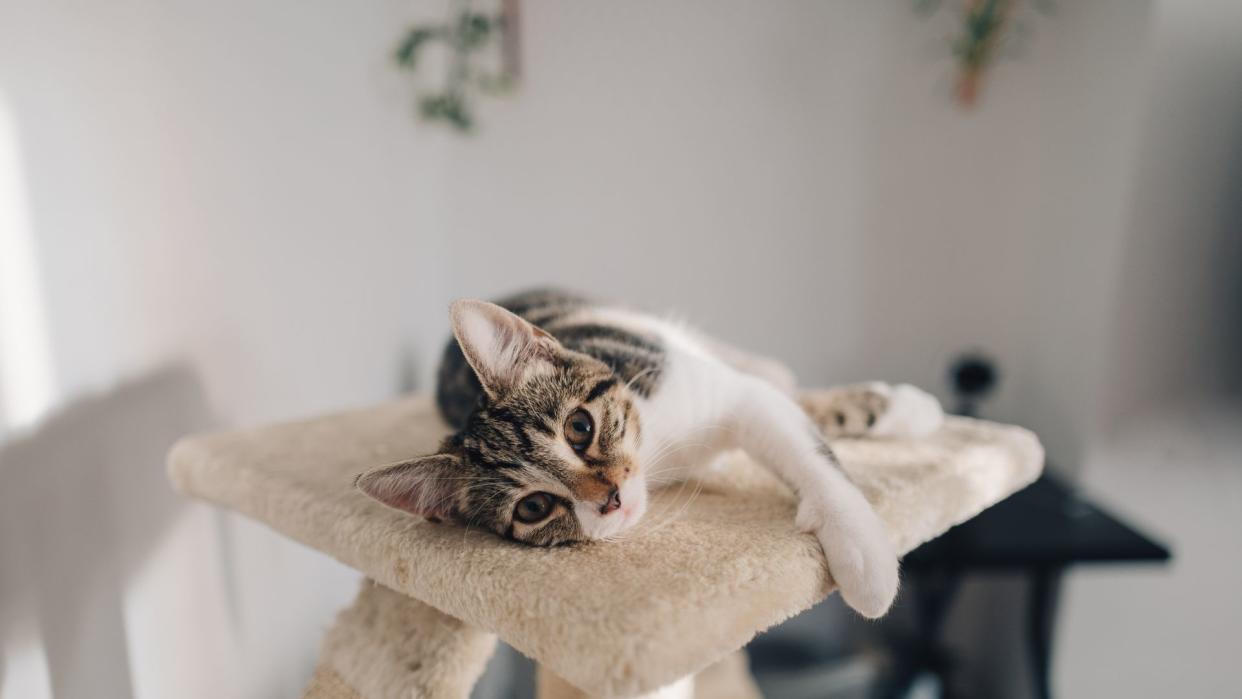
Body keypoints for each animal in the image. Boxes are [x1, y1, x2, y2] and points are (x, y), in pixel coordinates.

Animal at [357, 290, 938, 618]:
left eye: (579, 428)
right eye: (533, 507)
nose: (611, 497)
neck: (658, 447)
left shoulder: (714, 389)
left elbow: (802, 439)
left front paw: (862, 553)